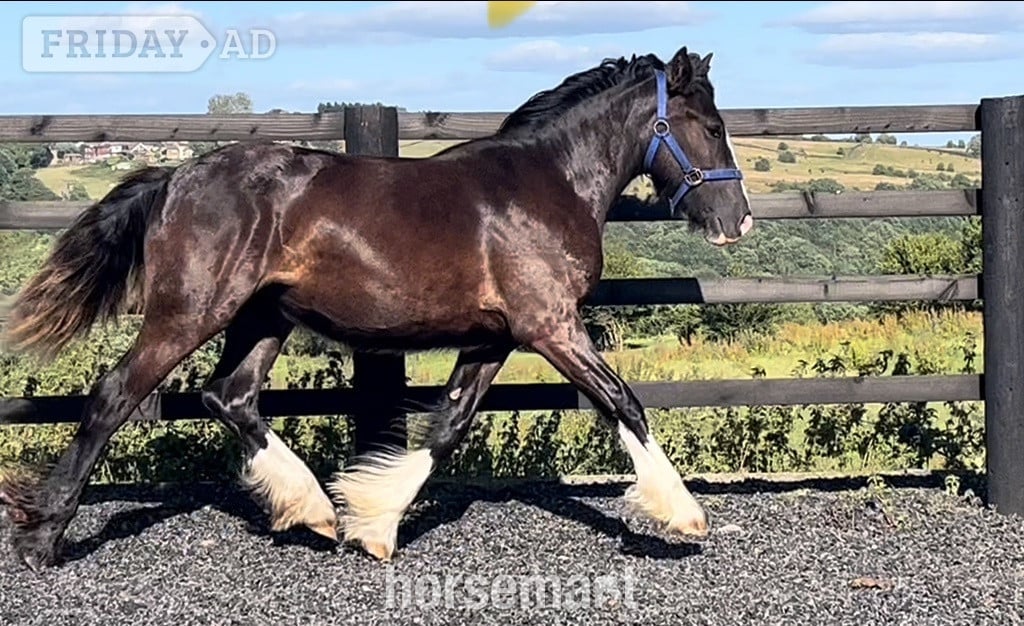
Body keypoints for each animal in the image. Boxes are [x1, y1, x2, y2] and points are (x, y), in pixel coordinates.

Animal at [0, 45, 752, 570]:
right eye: (712, 127)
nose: (737, 220)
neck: (546, 183)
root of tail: (175, 176)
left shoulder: (497, 337)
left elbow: (448, 426)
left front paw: (375, 524)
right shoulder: (550, 326)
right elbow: (624, 401)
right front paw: (684, 515)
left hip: (264, 317)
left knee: (229, 396)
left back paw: (314, 510)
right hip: (189, 313)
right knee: (114, 395)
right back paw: (42, 540)